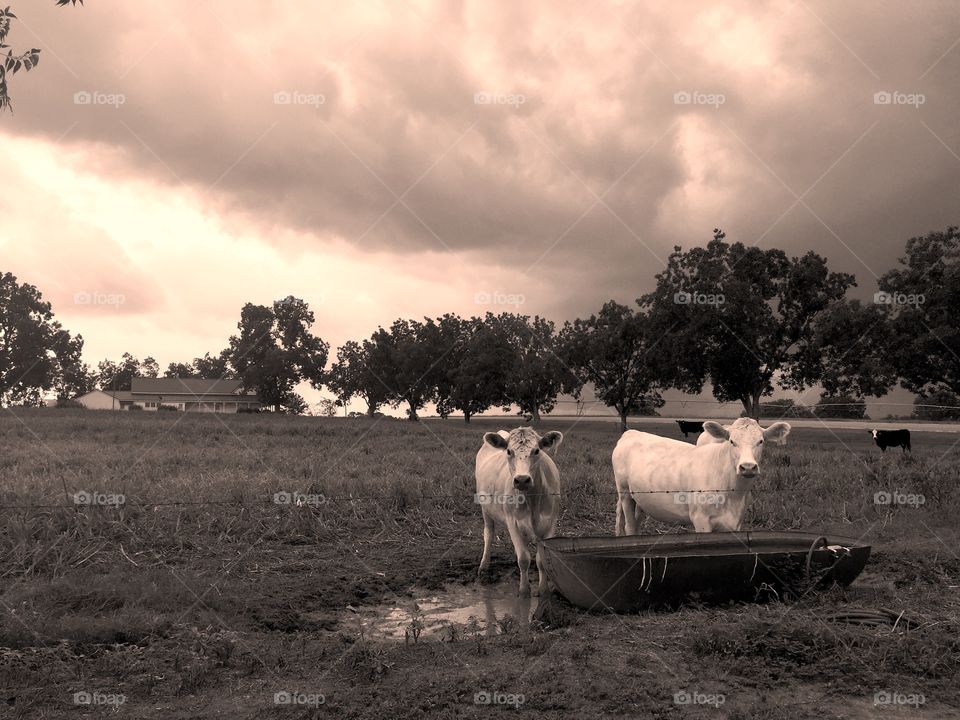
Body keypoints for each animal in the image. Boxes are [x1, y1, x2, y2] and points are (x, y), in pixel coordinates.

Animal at [476, 427, 564, 595]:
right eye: (509, 451)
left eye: (537, 451)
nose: (522, 479)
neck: (532, 502)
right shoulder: (513, 523)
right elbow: (524, 559)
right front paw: (524, 591)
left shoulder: (550, 525)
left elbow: (541, 560)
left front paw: (543, 590)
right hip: (485, 509)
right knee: (488, 534)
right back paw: (483, 566)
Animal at [613, 418, 791, 534]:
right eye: (732, 441)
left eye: (761, 441)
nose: (748, 467)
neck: (733, 492)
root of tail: (631, 432)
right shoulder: (700, 519)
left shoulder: (736, 522)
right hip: (624, 492)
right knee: (629, 527)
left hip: (640, 498)